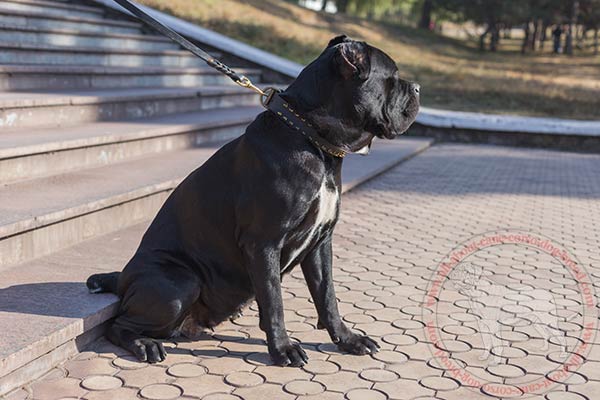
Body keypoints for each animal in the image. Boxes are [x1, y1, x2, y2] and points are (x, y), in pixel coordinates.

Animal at [88, 36, 418, 368]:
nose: (417, 88)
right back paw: (144, 344)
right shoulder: (263, 243)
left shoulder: (320, 243)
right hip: (180, 283)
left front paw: (347, 339)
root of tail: (123, 278)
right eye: (392, 77)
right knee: (119, 325)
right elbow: (274, 301)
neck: (311, 137)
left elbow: (327, 297)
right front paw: (283, 348)